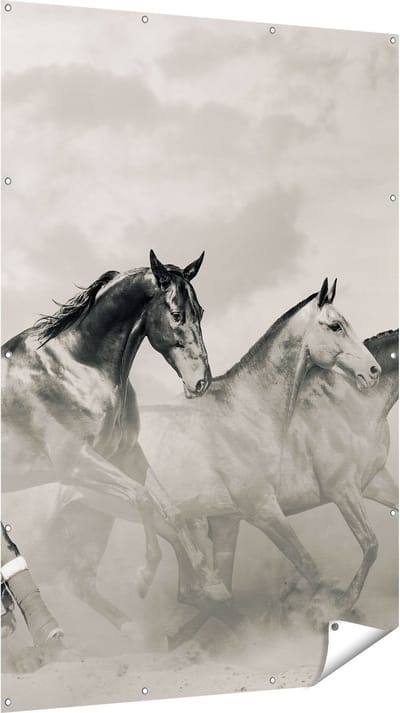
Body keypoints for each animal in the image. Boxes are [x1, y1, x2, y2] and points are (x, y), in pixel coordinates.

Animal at [1, 249, 230, 650]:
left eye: (200, 311)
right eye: (176, 314)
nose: (200, 382)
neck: (76, 366)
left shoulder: (124, 454)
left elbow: (171, 510)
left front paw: (209, 583)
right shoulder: (77, 463)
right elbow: (143, 499)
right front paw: (144, 575)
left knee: (80, 579)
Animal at [43, 278, 382, 641]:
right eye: (335, 326)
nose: (373, 371)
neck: (245, 411)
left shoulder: (227, 520)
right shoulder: (262, 510)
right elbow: (308, 564)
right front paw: (331, 610)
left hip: (94, 519)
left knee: (84, 582)